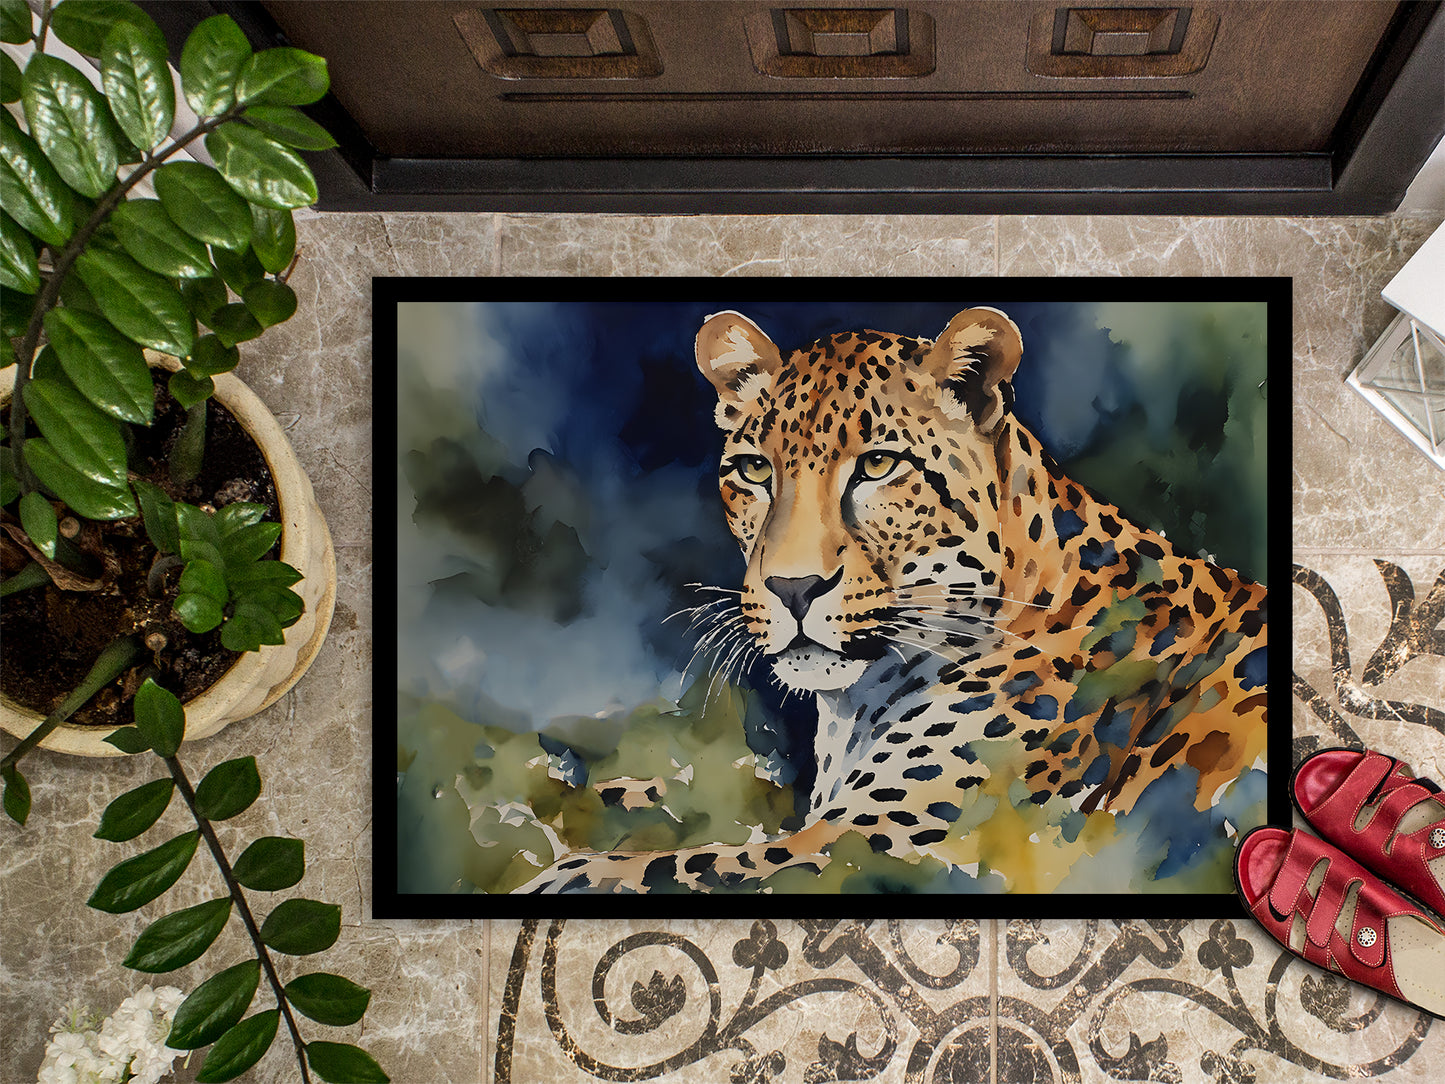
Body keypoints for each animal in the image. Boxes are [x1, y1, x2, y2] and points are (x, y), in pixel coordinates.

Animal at [520, 307, 1268, 894]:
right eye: (755, 470)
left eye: (879, 465)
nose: (792, 587)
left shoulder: (879, 844)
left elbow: (677, 868)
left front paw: (564, 875)